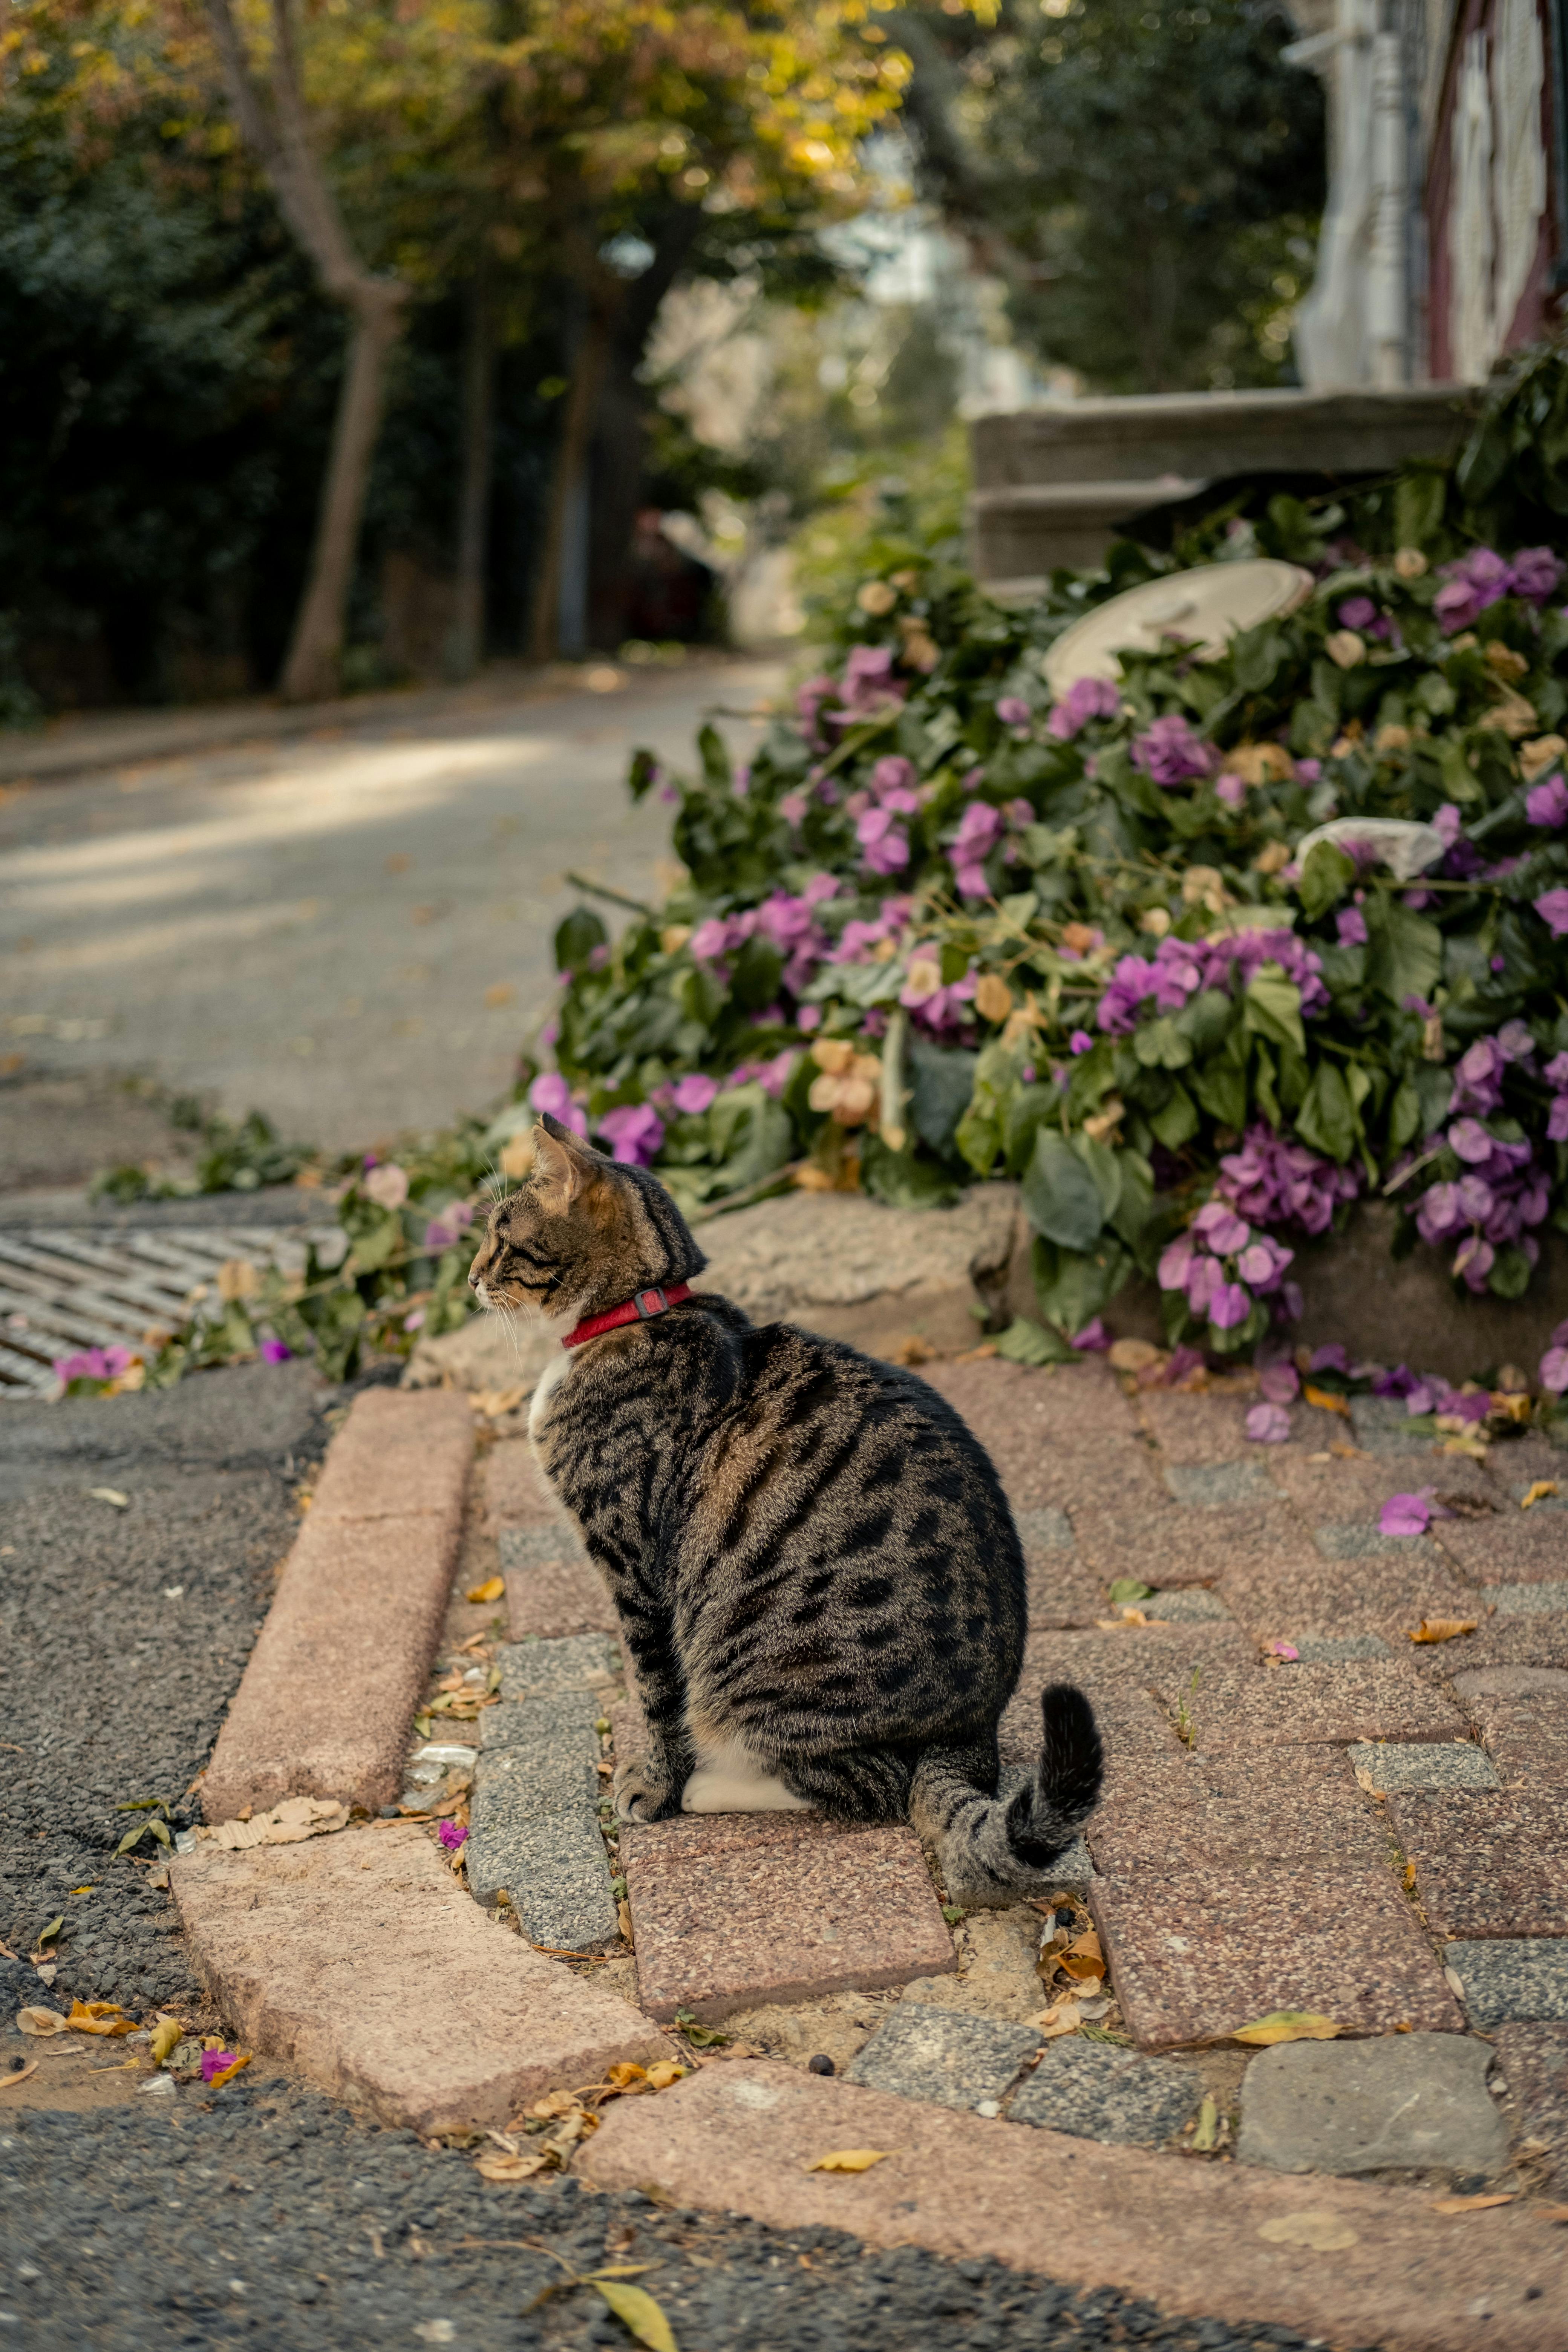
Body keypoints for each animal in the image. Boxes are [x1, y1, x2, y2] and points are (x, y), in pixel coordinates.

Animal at [470, 1110, 1105, 1900]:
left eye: (501, 1236)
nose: (471, 1278)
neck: (636, 1315)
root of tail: (973, 1734)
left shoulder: (633, 1567)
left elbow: (657, 1693)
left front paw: (656, 1786)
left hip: (761, 1669)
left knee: (871, 1784)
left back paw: (710, 1787)